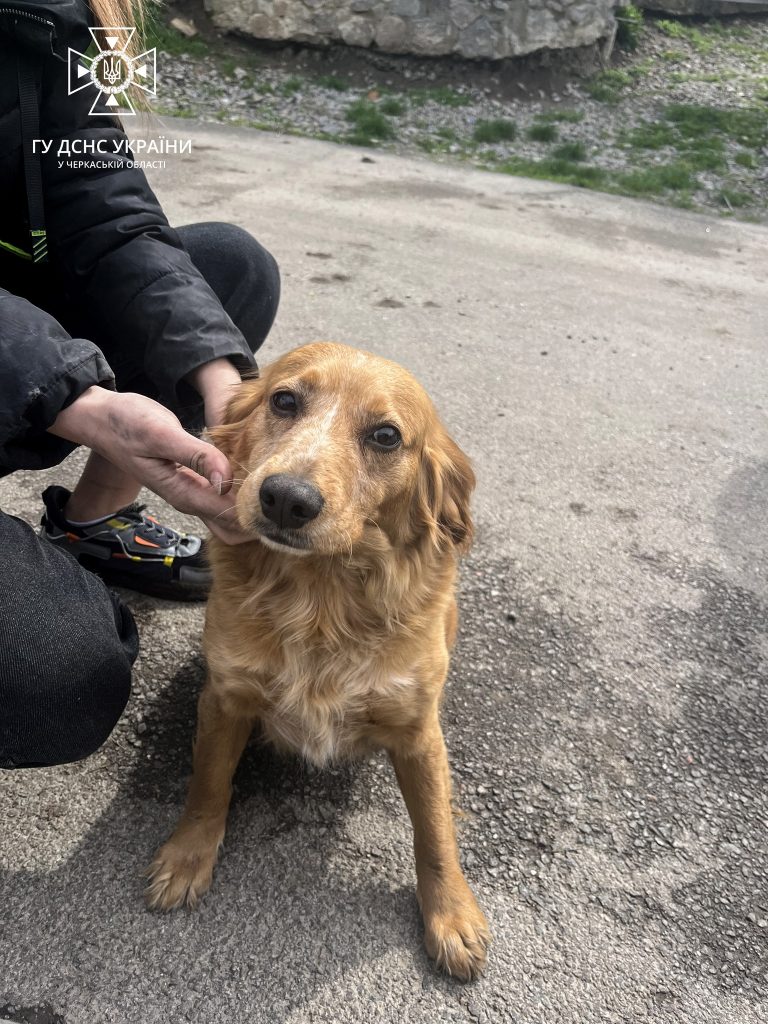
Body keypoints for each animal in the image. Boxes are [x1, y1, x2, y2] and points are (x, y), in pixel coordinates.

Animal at [145, 344, 493, 983]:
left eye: (386, 436)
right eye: (284, 400)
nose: (286, 498)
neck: (322, 600)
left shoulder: (418, 731)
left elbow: (435, 831)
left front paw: (451, 915)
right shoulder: (226, 698)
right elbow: (208, 785)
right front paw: (186, 858)